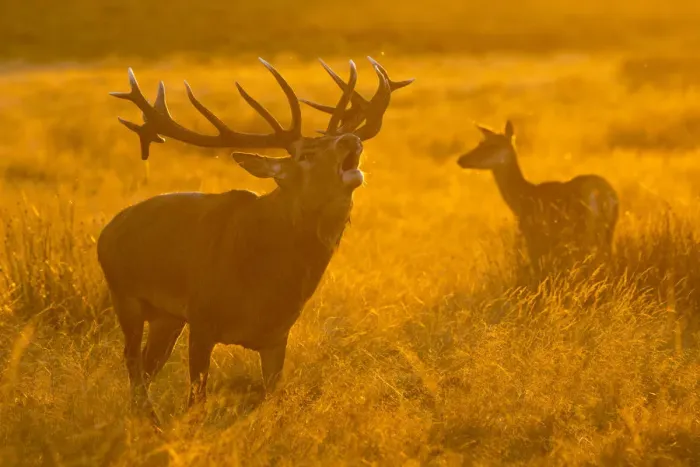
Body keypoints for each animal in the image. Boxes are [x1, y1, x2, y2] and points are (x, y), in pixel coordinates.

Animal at [98, 57, 414, 426]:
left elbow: (273, 401)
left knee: (147, 367)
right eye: (305, 154)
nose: (350, 140)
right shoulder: (202, 319)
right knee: (133, 364)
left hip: (167, 317)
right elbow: (196, 402)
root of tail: (107, 231)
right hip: (125, 298)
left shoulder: (277, 335)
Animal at [457, 120, 619, 275]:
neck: (521, 198)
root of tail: (603, 195)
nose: (461, 159)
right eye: (480, 143)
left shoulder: (534, 236)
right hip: (607, 232)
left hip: (583, 230)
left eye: (492, 145)